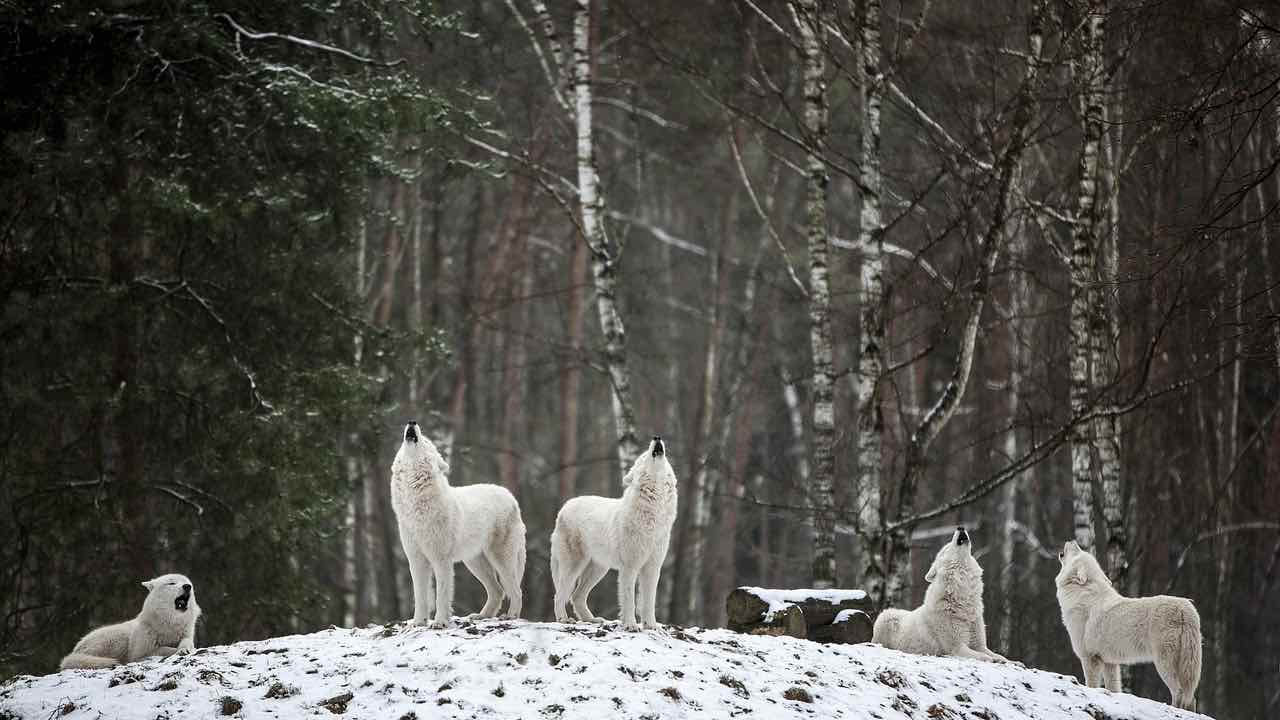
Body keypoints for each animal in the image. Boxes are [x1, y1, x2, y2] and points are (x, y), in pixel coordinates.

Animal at [60, 571, 200, 666]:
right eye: (171, 583)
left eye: (188, 583)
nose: (187, 586)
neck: (170, 624)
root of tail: (74, 651)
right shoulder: (139, 653)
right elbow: (164, 649)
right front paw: (176, 650)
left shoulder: (187, 635)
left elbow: (187, 642)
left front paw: (184, 649)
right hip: (117, 639)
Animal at [391, 417, 527, 625]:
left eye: (426, 442)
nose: (412, 422)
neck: (415, 503)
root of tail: (510, 496)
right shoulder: (416, 560)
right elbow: (420, 597)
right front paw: (418, 623)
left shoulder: (441, 559)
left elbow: (441, 595)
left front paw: (440, 622)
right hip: (474, 562)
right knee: (497, 591)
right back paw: (481, 616)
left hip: (501, 560)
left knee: (516, 591)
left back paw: (511, 616)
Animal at [550, 430, 680, 627]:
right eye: (643, 457)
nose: (656, 438)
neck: (654, 513)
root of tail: (564, 507)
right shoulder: (629, 567)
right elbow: (629, 600)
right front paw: (631, 625)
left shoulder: (652, 567)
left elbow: (649, 602)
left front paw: (651, 626)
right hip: (574, 567)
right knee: (559, 595)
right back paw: (564, 619)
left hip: (598, 570)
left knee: (577, 596)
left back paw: (592, 619)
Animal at [870, 527, 1008, 661]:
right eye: (946, 548)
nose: (960, 527)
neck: (963, 599)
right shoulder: (957, 648)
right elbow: (983, 656)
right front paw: (993, 660)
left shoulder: (979, 645)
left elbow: (997, 655)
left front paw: (1008, 660)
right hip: (886, 615)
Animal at [1049, 538, 1198, 707]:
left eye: (1077, 552)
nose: (1072, 541)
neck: (1083, 594)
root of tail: (1185, 608)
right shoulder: (1110, 662)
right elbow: (1114, 688)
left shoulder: (1089, 658)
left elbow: (1091, 685)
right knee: (1191, 697)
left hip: (1163, 663)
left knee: (1179, 692)